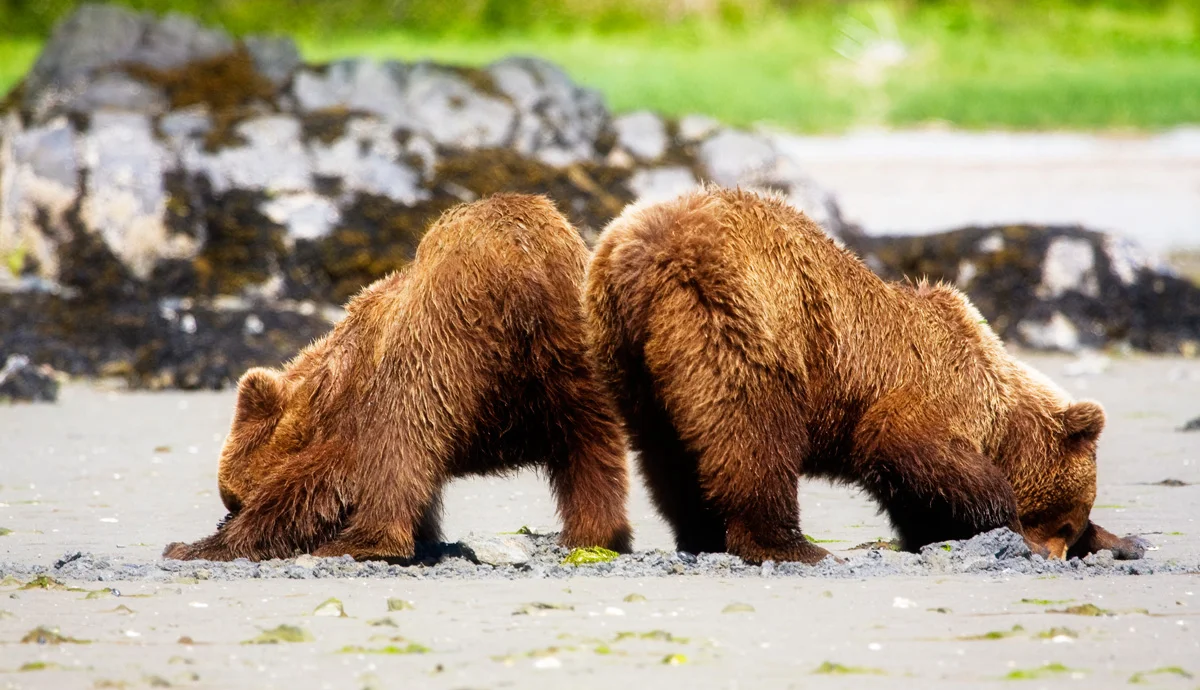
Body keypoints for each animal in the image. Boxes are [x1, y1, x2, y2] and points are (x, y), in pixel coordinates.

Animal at [164, 193, 632, 562]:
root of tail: (521, 261)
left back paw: (364, 542)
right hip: (575, 345)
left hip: (439, 338)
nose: (228, 509)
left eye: (233, 496)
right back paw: (597, 534)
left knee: (400, 442)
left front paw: (201, 544)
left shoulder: (358, 405)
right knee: (592, 445)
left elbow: (320, 482)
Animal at [584, 186, 1145, 565]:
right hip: (749, 318)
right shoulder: (930, 392)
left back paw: (703, 534)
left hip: (625, 353)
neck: (998, 420)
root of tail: (648, 254)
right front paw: (1003, 523)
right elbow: (904, 445)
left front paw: (1121, 540)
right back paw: (793, 546)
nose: (1055, 552)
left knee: (667, 452)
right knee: (752, 433)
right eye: (1062, 518)